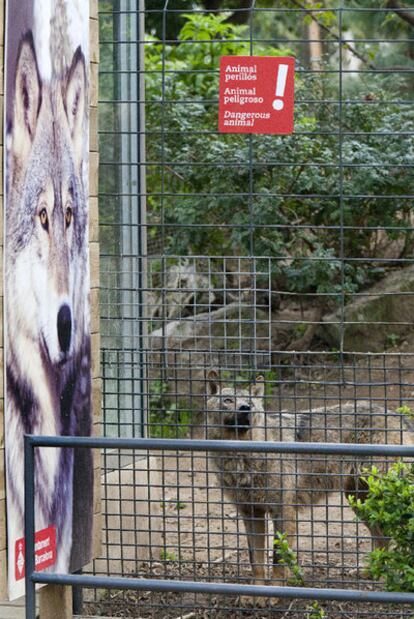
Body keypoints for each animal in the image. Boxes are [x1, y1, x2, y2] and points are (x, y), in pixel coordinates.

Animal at [205, 370, 412, 588]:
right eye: (228, 400)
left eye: (250, 403)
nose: (245, 408)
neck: (242, 456)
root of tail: (399, 417)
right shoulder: (251, 513)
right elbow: (257, 560)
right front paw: (256, 592)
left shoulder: (283, 511)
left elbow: (278, 557)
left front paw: (275, 591)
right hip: (359, 500)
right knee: (382, 537)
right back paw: (371, 572)